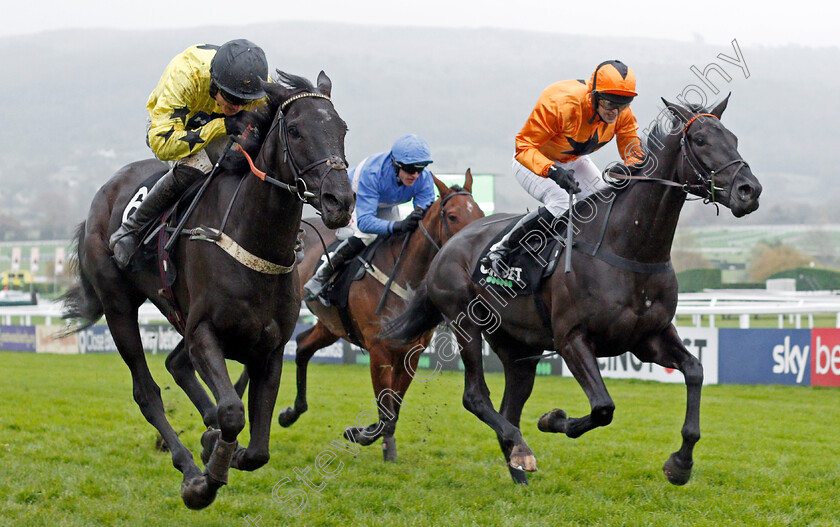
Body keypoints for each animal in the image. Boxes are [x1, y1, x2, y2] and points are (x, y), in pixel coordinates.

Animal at [60, 72, 356, 510]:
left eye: (342, 129)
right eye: (296, 131)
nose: (341, 200)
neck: (252, 241)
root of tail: (102, 195)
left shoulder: (269, 349)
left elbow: (257, 450)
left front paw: (221, 447)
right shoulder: (204, 333)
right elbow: (232, 411)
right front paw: (204, 481)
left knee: (176, 365)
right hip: (119, 307)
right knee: (147, 392)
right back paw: (188, 467)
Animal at [278, 170, 486, 462]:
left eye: (479, 213)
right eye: (453, 216)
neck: (406, 278)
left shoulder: (412, 352)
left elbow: (393, 410)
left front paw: (376, 440)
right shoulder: (379, 350)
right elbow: (386, 411)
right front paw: (361, 434)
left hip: (331, 325)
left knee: (303, 345)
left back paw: (291, 413)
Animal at [380, 96, 760, 486]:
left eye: (732, 137)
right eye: (700, 140)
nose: (750, 191)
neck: (629, 250)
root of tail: (447, 246)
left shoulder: (649, 337)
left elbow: (695, 371)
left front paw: (681, 464)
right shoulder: (572, 339)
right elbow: (603, 407)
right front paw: (554, 419)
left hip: (518, 346)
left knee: (509, 406)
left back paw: (518, 467)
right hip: (464, 322)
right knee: (475, 396)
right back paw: (522, 451)